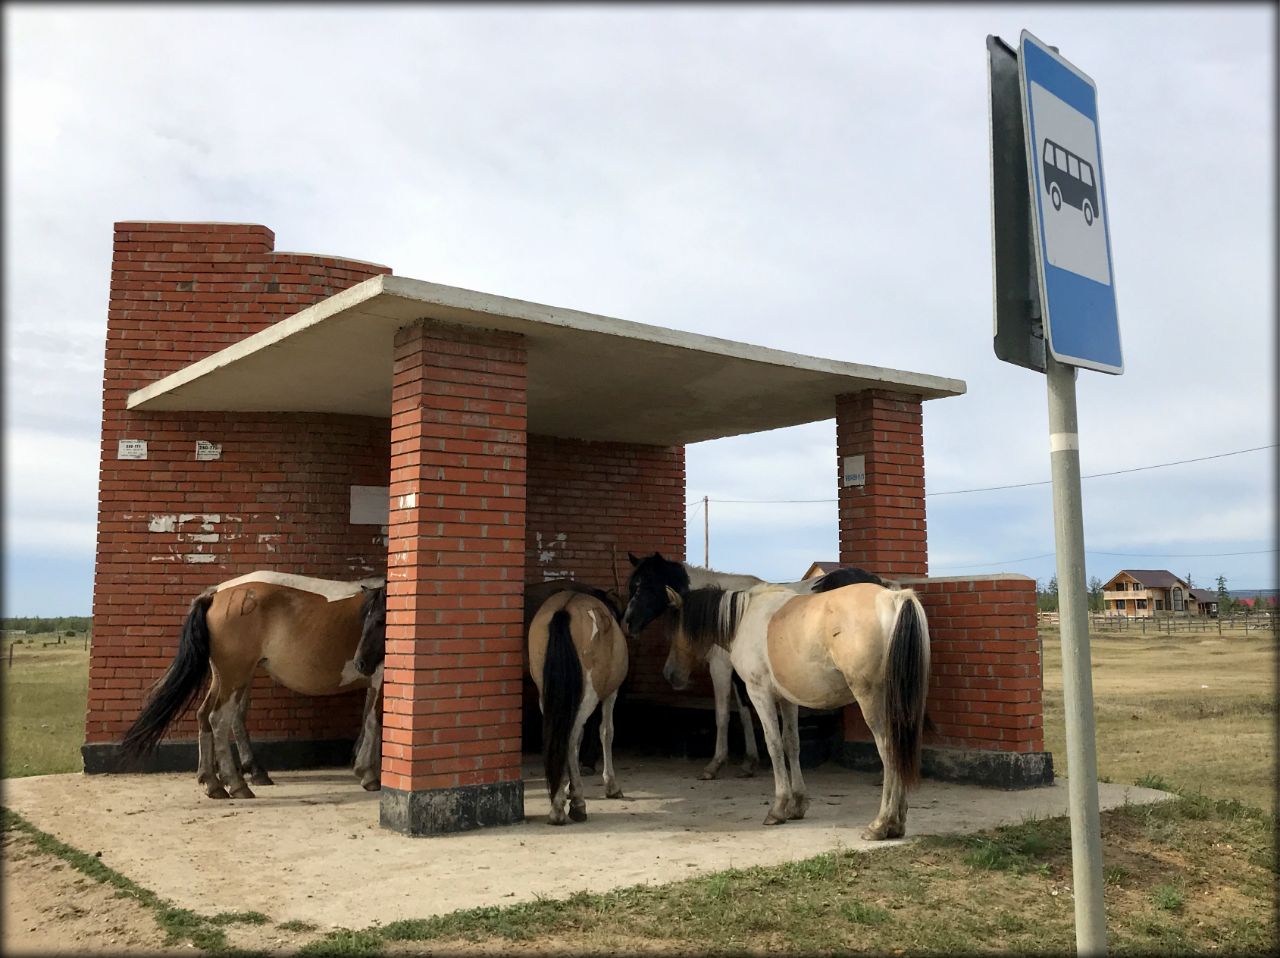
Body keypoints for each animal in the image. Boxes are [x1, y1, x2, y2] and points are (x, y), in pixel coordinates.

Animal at [122, 568, 386, 799]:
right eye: (374, 620)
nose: (361, 662)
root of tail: (217, 594)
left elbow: (367, 720)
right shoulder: (380, 678)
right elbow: (374, 721)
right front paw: (369, 774)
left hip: (225, 676)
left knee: (205, 715)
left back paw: (213, 782)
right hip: (236, 675)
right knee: (220, 719)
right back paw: (238, 784)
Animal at [524, 591, 629, 824]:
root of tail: (565, 609)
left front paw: (569, 787)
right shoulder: (611, 694)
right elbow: (606, 732)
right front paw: (610, 785)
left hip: (547, 695)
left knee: (561, 736)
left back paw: (558, 803)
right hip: (590, 694)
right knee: (570, 737)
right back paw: (575, 805)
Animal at [622, 550, 885, 783]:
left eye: (647, 586)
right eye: (632, 587)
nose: (628, 623)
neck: (727, 612)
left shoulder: (720, 667)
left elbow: (722, 714)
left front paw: (715, 764)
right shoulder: (742, 674)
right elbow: (744, 711)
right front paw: (749, 762)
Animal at [660, 576, 931, 840]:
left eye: (675, 629)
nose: (670, 674)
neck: (743, 619)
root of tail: (894, 598)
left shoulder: (759, 693)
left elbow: (773, 745)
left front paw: (778, 808)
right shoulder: (787, 700)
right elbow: (791, 743)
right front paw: (797, 805)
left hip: (871, 700)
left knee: (888, 749)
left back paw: (881, 823)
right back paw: (897, 823)